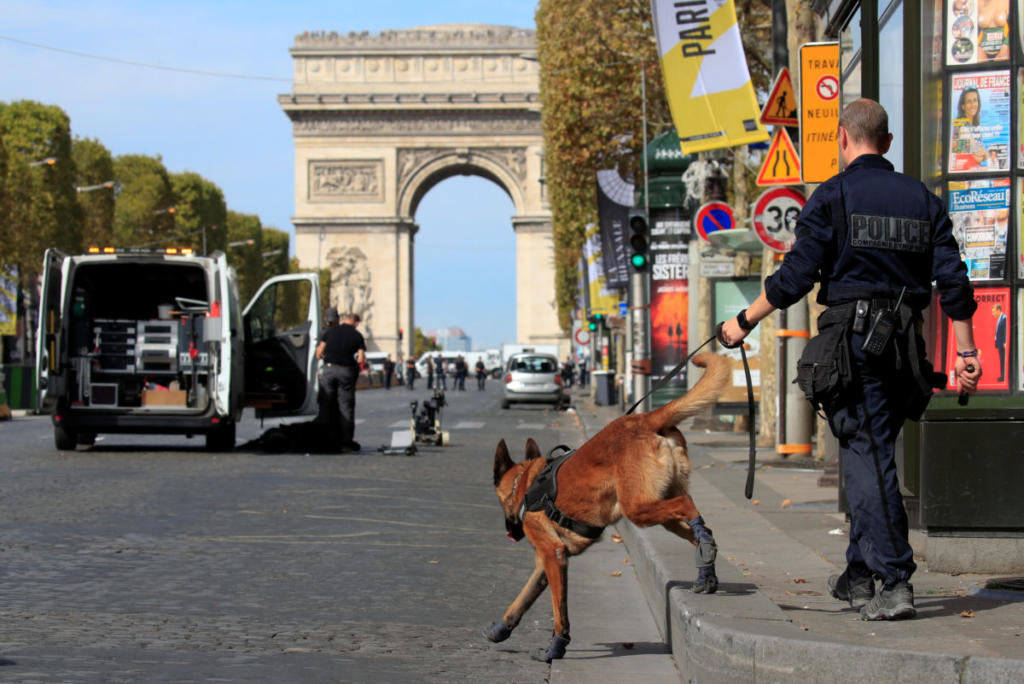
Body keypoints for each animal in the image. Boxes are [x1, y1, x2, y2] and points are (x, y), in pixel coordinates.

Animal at [485, 352, 733, 663]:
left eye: (500, 502)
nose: (510, 532)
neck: (526, 485)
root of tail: (645, 418)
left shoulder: (553, 556)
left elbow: (559, 609)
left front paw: (557, 644)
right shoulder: (546, 562)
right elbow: (523, 598)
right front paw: (502, 627)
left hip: (637, 509)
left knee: (687, 505)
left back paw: (705, 552)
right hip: (658, 509)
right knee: (699, 527)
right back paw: (705, 569)